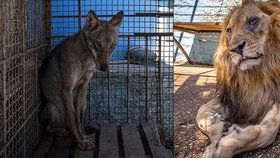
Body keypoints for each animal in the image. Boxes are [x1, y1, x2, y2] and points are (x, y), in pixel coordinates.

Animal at [39, 10, 123, 149]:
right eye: (98, 43)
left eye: (113, 45)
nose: (104, 68)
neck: (85, 62)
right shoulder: (66, 90)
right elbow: (73, 120)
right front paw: (81, 142)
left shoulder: (83, 88)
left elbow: (79, 119)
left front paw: (84, 137)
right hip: (51, 107)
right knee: (48, 127)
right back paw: (61, 131)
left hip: (84, 104)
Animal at [196, 0, 280, 157]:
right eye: (229, 30)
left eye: (253, 21)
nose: (235, 49)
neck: (255, 74)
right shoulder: (234, 97)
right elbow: (200, 112)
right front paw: (215, 125)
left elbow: (267, 131)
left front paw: (224, 145)